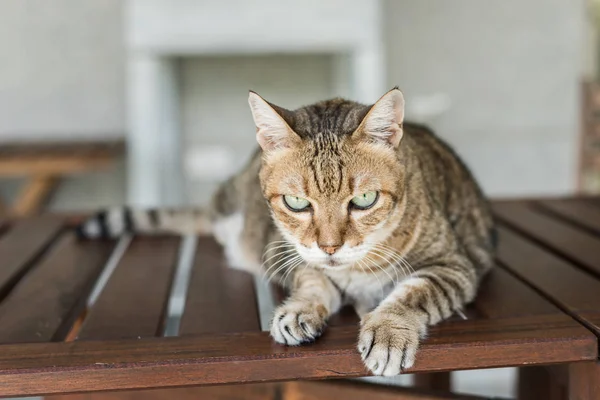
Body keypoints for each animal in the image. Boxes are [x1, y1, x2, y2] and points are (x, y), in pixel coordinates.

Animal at [78, 87, 496, 376]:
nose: (330, 246)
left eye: (364, 199)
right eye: (296, 203)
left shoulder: (454, 264)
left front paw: (387, 331)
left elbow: (412, 294)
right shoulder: (283, 250)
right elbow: (312, 279)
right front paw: (300, 310)